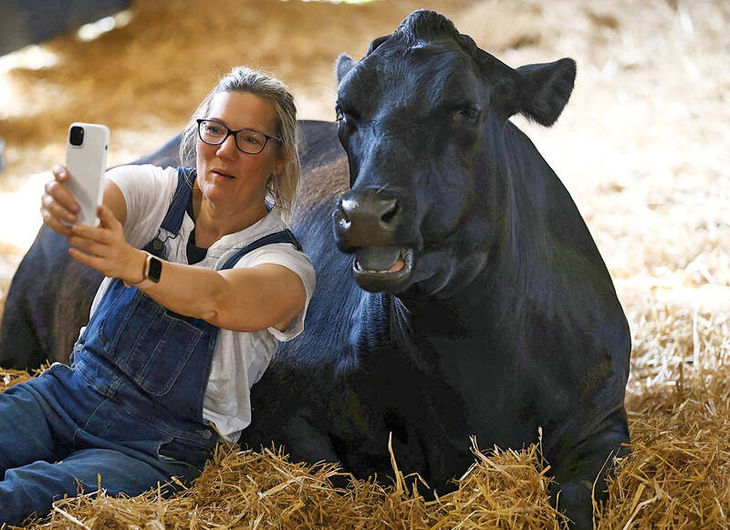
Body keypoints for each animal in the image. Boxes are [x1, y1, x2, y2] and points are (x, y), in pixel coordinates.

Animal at [0, 10, 630, 528]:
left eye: (467, 108)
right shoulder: (287, 416)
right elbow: (340, 473)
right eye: (345, 111)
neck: (478, 374)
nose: (365, 212)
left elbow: (578, 501)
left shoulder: (602, 420)